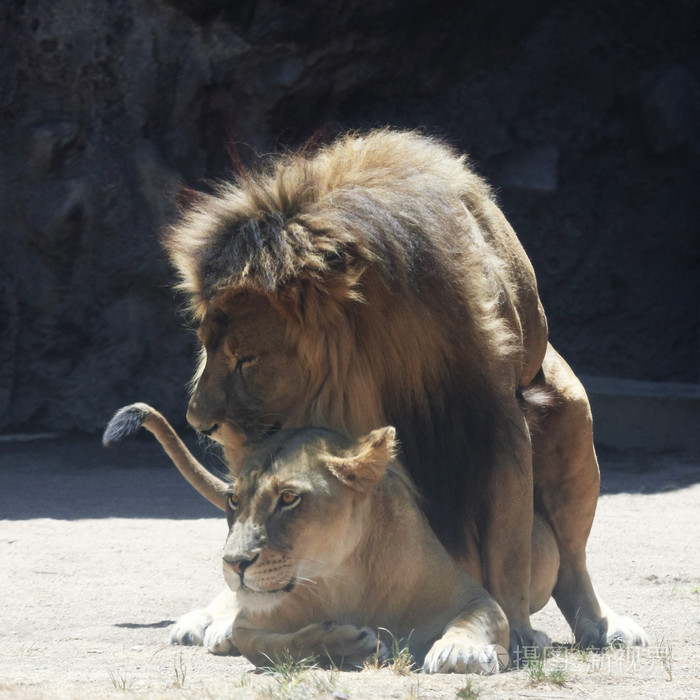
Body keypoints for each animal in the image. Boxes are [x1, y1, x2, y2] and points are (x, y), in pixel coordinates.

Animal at [104, 404, 560, 672]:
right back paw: (204, 626)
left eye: (289, 498)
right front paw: (351, 644)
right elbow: (269, 644)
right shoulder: (255, 621)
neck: (345, 577)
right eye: (234, 499)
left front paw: (458, 652)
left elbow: (479, 618)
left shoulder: (475, 596)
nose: (234, 563)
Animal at [163, 127, 644, 652]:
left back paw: (601, 624)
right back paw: (214, 619)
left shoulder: (495, 419)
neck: (377, 353)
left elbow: (508, 545)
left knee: (571, 560)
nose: (197, 420)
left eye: (245, 358)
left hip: (573, 416)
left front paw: (514, 630)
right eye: (206, 348)